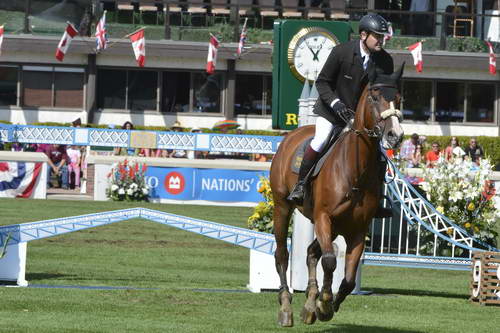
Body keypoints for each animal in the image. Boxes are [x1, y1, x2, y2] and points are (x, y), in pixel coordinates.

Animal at [270, 63, 406, 326]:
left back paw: (309, 305)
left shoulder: (357, 230)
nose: (395, 135)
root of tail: (291, 135)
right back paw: (286, 307)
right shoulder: (324, 218)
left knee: (311, 253)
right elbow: (331, 261)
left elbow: (349, 279)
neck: (355, 170)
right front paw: (324, 302)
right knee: (282, 254)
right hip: (283, 207)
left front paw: (323, 304)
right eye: (374, 97)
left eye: (398, 98)